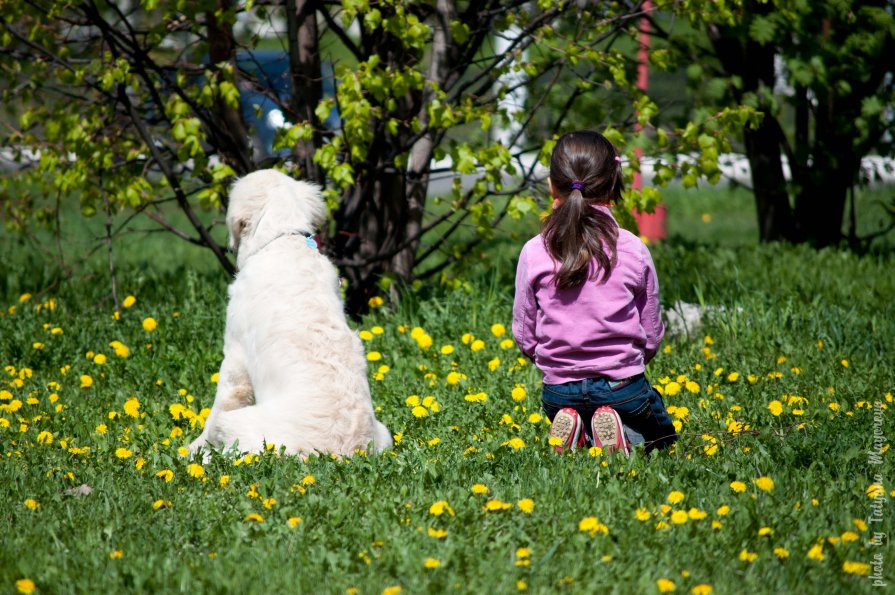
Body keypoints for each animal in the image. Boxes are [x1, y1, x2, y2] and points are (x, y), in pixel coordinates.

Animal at [189, 170, 392, 458]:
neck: (284, 239)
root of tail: (341, 452)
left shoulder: (235, 356)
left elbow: (219, 406)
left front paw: (191, 448)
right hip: (384, 433)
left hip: (237, 423)